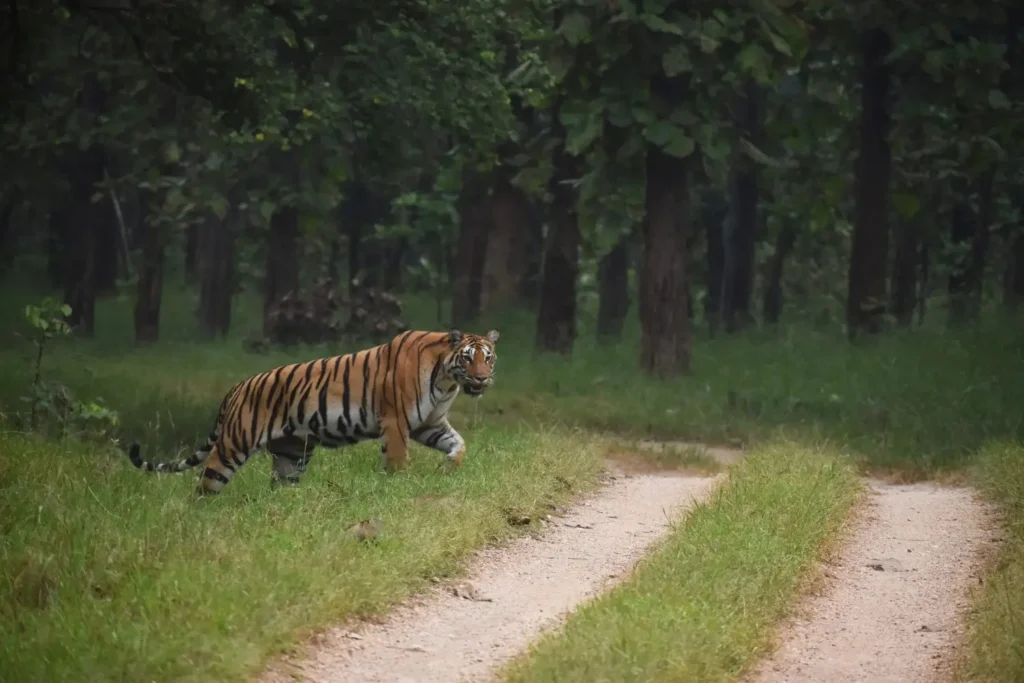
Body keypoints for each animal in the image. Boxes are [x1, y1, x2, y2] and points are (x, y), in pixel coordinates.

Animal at [126, 328, 500, 495]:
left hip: (293, 453)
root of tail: (237, 388)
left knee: (281, 484)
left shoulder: (430, 423)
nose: (482, 378)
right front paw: (399, 485)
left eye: (489, 357)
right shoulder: (397, 422)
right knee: (206, 484)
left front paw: (448, 468)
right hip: (235, 443)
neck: (447, 380)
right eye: (468, 358)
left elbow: (459, 444)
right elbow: (397, 460)